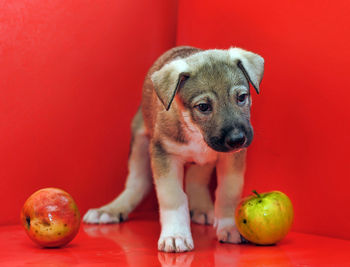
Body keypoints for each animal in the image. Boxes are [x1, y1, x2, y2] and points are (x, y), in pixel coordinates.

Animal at [83, 46, 264, 253]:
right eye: (203, 107)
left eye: (241, 97)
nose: (237, 139)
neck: (195, 131)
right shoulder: (164, 155)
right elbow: (173, 197)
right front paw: (176, 235)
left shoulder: (232, 158)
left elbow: (228, 192)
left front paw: (230, 227)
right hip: (139, 142)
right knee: (137, 184)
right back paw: (110, 210)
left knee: (196, 179)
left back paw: (201, 208)